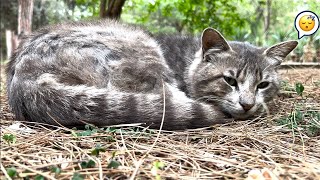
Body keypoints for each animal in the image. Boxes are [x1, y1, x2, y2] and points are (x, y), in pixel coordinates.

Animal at [6, 19, 298, 129]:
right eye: (229, 80)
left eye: (263, 84)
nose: (248, 104)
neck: (188, 59)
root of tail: (23, 76)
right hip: (140, 48)